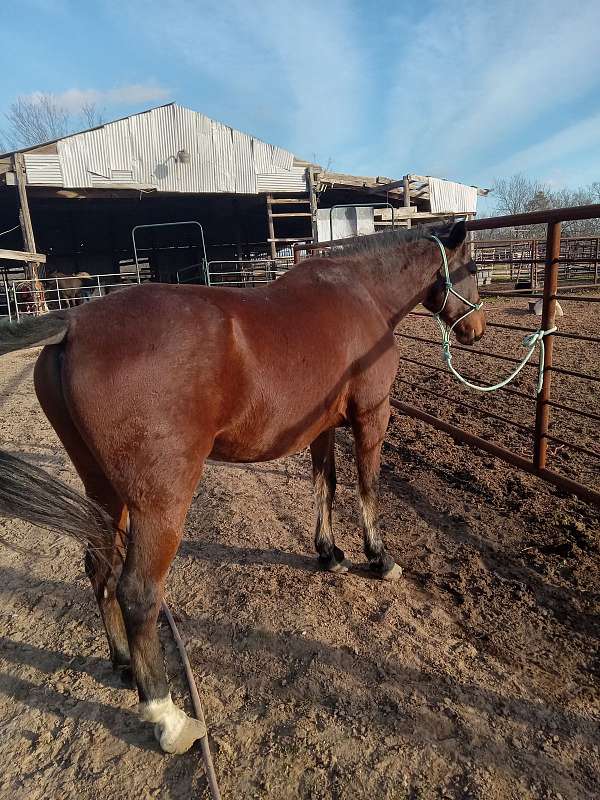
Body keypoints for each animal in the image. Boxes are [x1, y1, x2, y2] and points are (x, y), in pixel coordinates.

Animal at [0, 220, 486, 756]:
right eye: (473, 266)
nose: (476, 330)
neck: (363, 294)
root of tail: (74, 323)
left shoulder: (320, 428)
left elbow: (325, 485)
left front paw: (329, 553)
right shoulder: (370, 417)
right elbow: (367, 487)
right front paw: (379, 559)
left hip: (102, 489)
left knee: (99, 570)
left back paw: (124, 664)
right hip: (159, 504)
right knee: (138, 592)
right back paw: (168, 717)